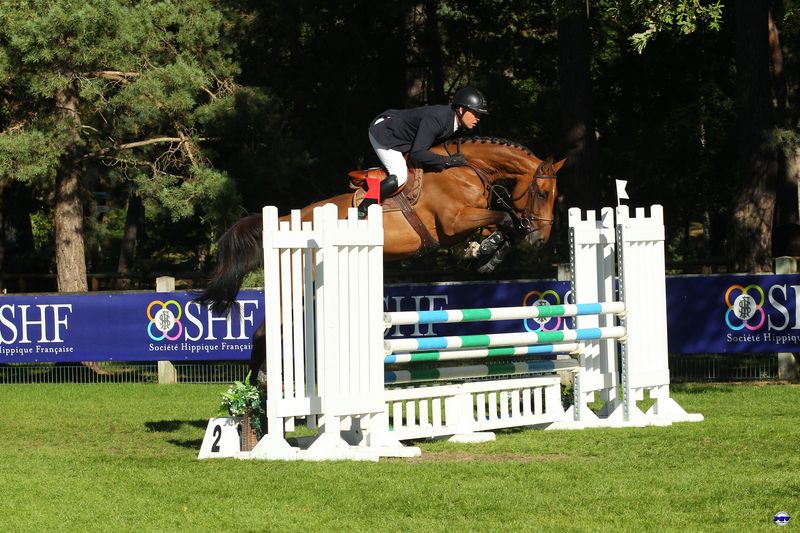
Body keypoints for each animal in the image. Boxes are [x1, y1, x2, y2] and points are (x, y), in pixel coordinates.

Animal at [197, 135, 564, 380]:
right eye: (542, 192)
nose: (539, 239)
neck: (467, 169)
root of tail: (285, 220)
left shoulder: (462, 225)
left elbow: (496, 226)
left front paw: (479, 253)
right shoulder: (454, 221)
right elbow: (504, 220)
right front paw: (486, 252)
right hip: (294, 287)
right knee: (264, 331)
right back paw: (258, 389)